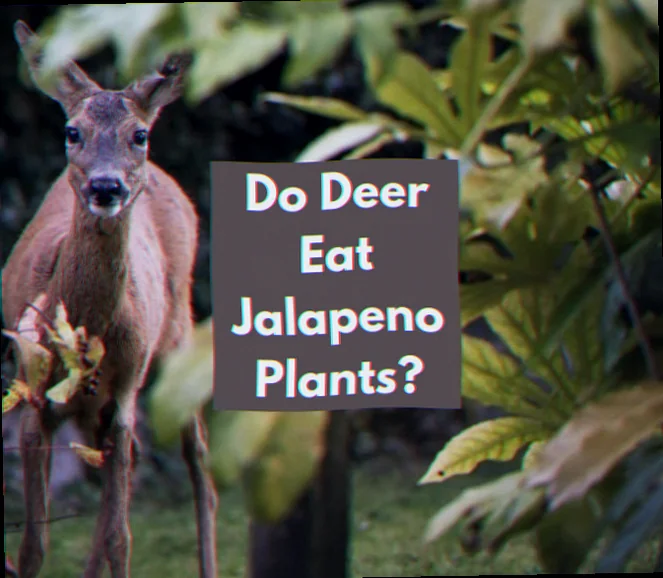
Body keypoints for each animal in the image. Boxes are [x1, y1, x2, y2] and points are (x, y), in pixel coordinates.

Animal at [3, 21, 218, 578]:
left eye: (138, 135)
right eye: (72, 131)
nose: (106, 186)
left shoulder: (124, 389)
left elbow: (123, 536)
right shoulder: (32, 389)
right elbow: (33, 546)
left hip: (177, 331)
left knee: (199, 462)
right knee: (137, 461)